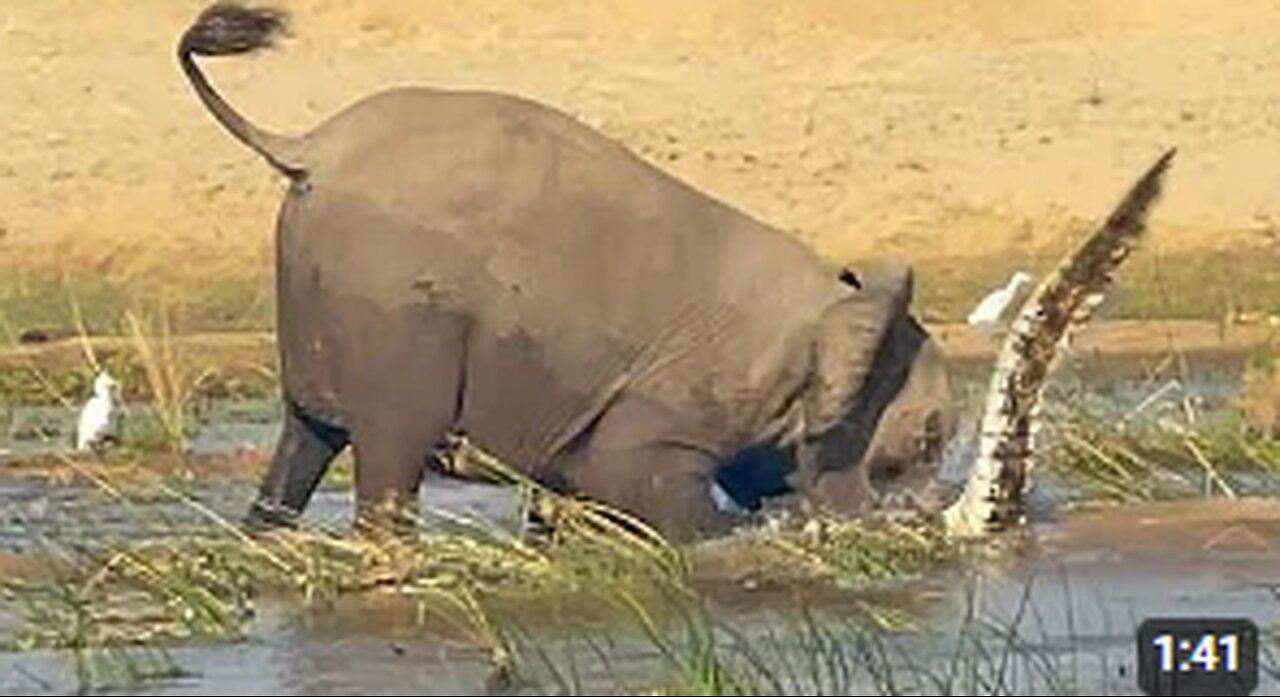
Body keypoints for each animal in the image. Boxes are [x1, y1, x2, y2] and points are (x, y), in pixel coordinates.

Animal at [183, 2, 962, 539]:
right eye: (924, 440)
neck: (829, 307)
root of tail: (307, 145)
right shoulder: (673, 398)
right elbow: (638, 480)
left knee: (304, 442)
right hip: (397, 312)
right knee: (387, 457)